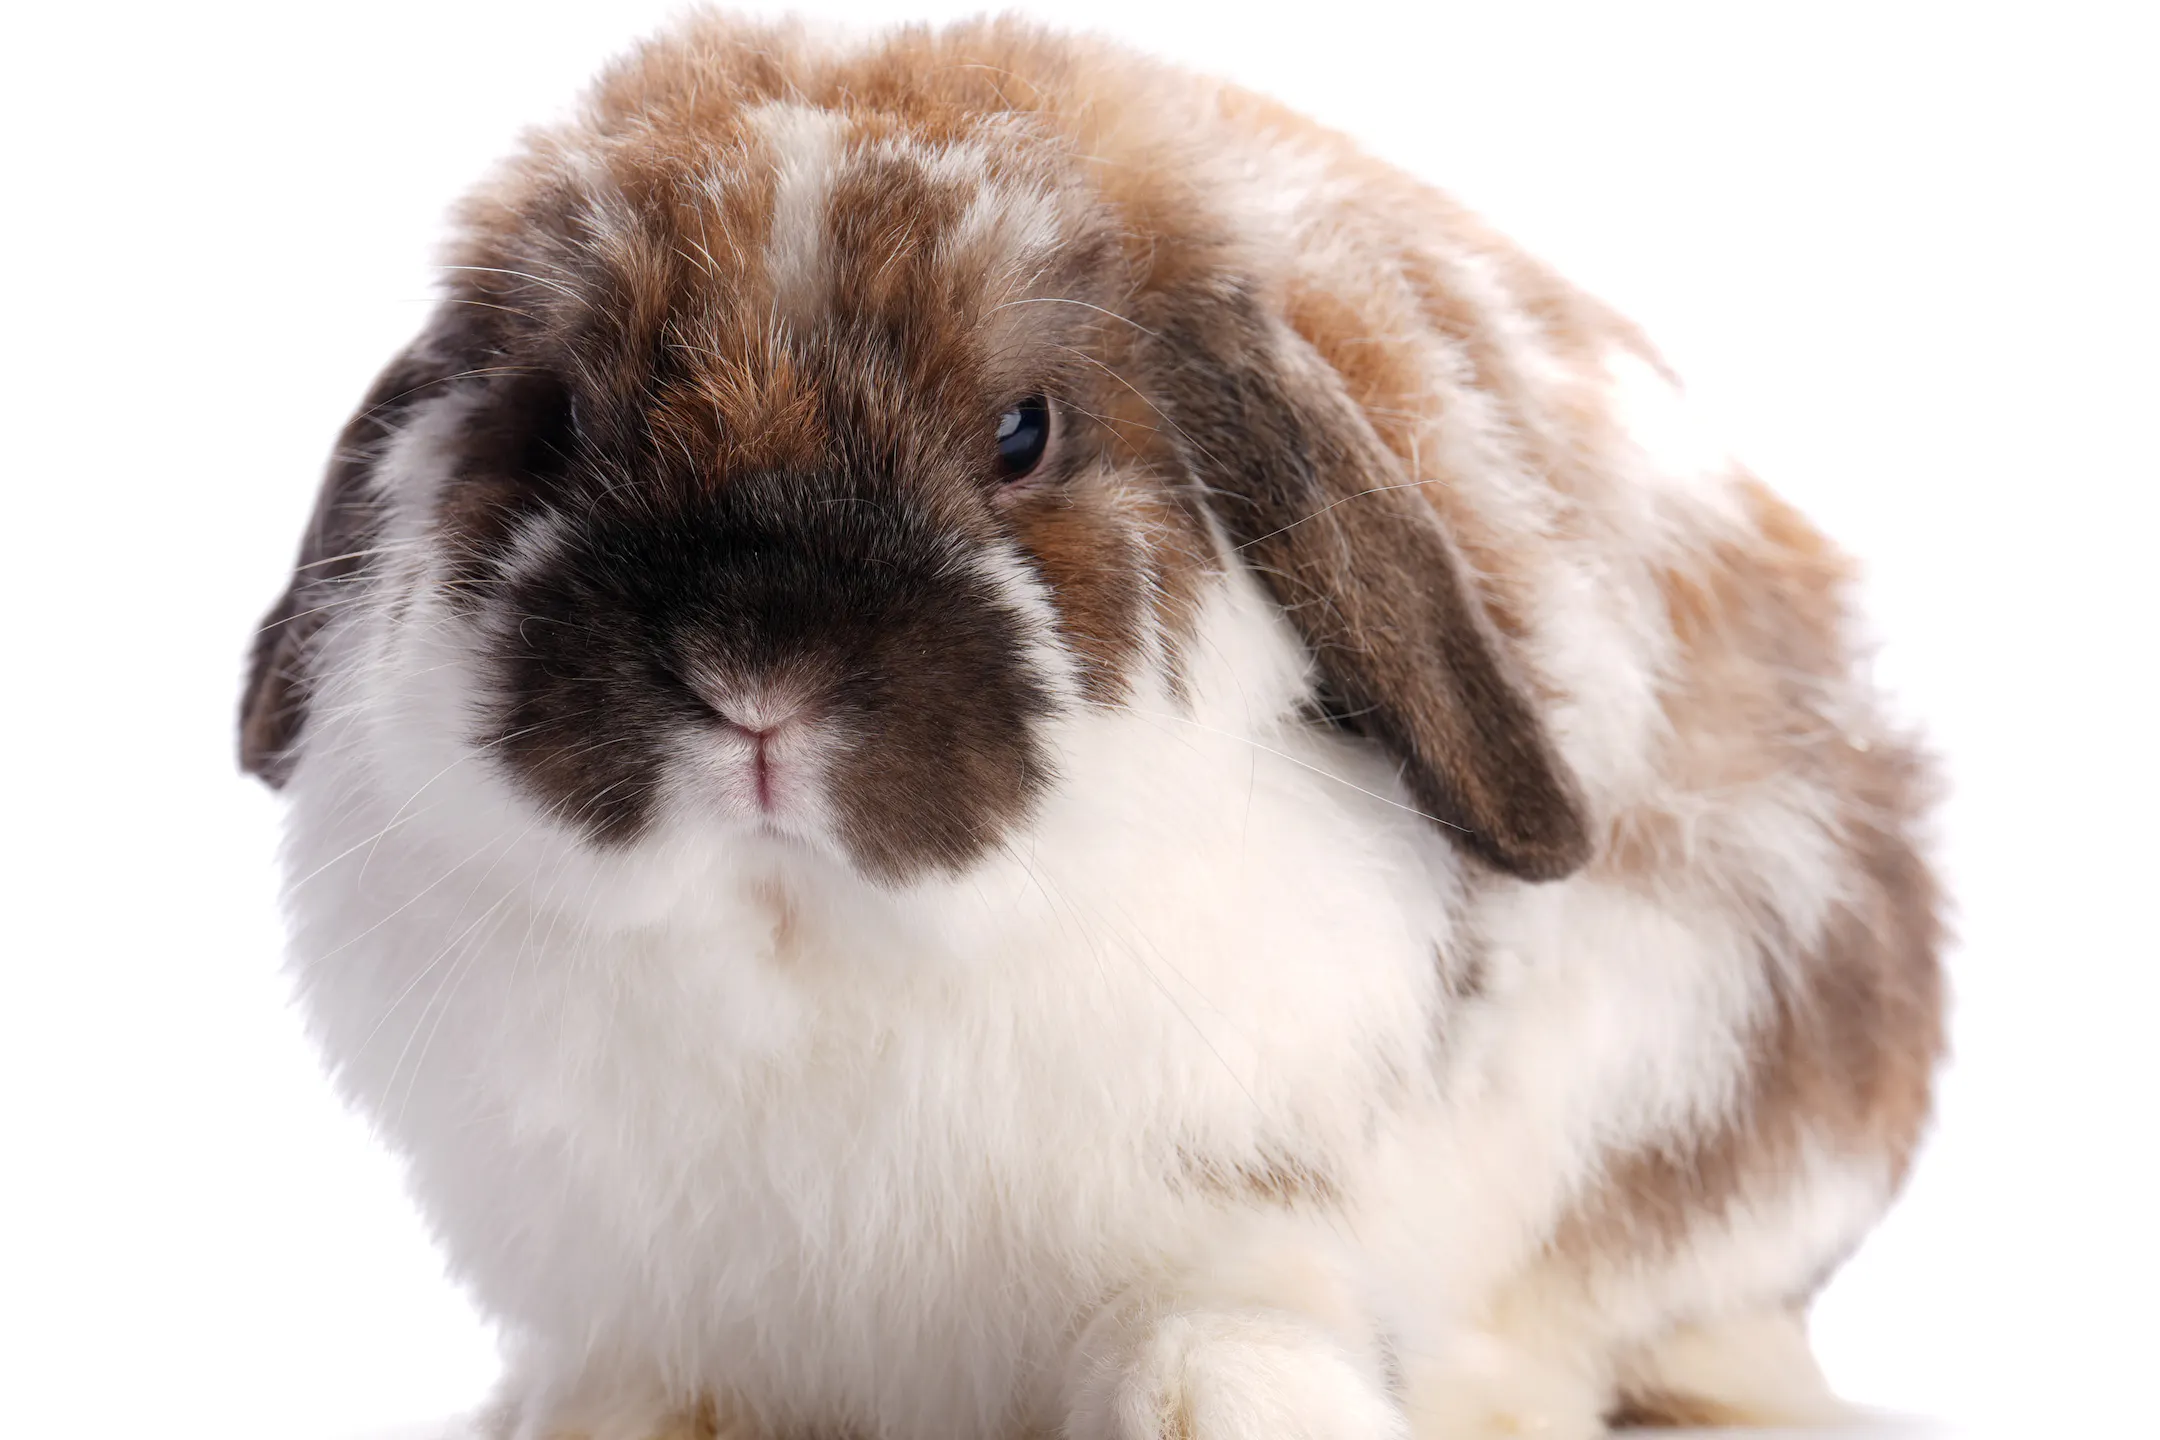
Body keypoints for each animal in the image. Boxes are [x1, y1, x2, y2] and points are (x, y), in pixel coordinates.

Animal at [240, 13, 1945, 1440]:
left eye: (1023, 433)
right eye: (561, 423)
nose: (752, 673)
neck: (815, 947)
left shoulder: (1242, 1196)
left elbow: (1221, 1324)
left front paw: (1238, 1414)